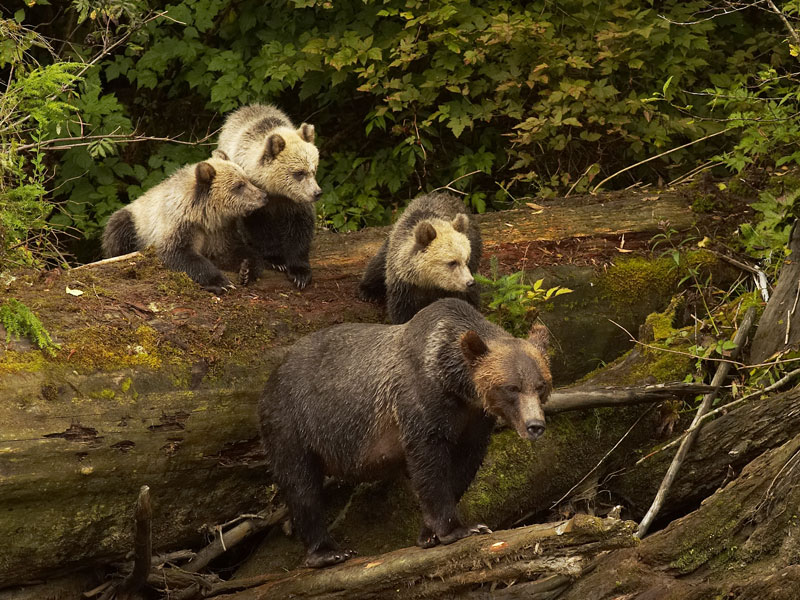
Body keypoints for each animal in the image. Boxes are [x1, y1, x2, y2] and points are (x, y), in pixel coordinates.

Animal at [256, 298, 552, 568]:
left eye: (541, 385)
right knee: (301, 484)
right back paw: (328, 552)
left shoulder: (474, 420)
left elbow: (464, 466)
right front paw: (459, 529)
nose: (535, 425)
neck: (456, 385)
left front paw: (428, 534)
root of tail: (275, 371)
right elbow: (429, 463)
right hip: (293, 421)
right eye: (512, 387)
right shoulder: (421, 404)